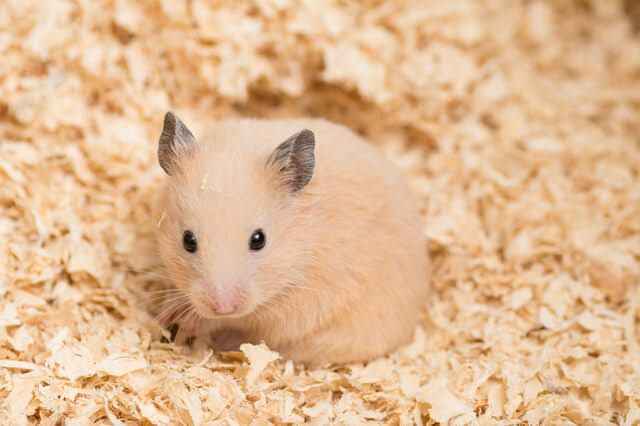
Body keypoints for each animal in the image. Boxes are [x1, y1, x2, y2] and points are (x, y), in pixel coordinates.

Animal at [154, 111, 430, 366]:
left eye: (259, 240)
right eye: (188, 240)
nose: (223, 307)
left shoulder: (295, 308)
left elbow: (241, 320)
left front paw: (183, 320)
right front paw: (165, 313)